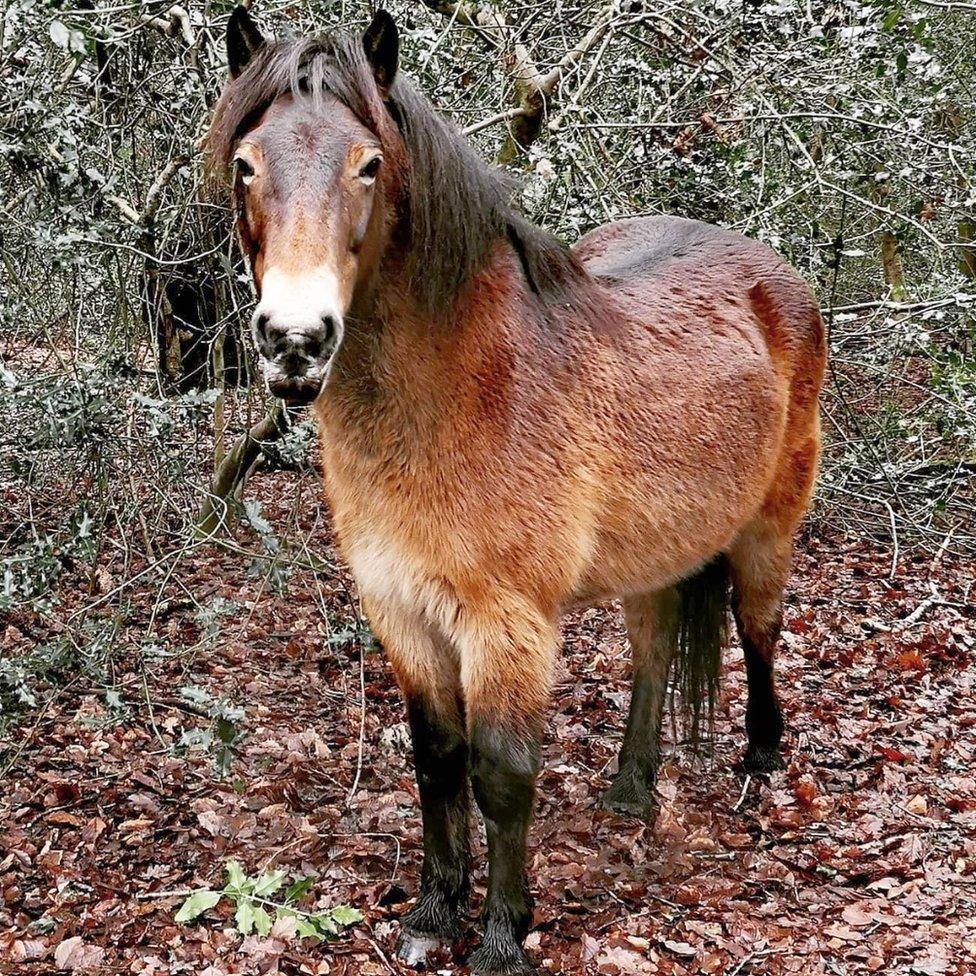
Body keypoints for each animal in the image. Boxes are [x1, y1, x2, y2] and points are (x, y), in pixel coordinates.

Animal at [210, 9, 828, 976]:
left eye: (369, 165)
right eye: (246, 162)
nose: (296, 340)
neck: (463, 391)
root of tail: (776, 273)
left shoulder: (507, 623)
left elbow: (501, 772)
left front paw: (503, 933)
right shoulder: (401, 611)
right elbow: (436, 760)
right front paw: (433, 912)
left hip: (768, 530)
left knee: (759, 630)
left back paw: (762, 763)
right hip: (656, 556)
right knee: (654, 654)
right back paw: (631, 789)